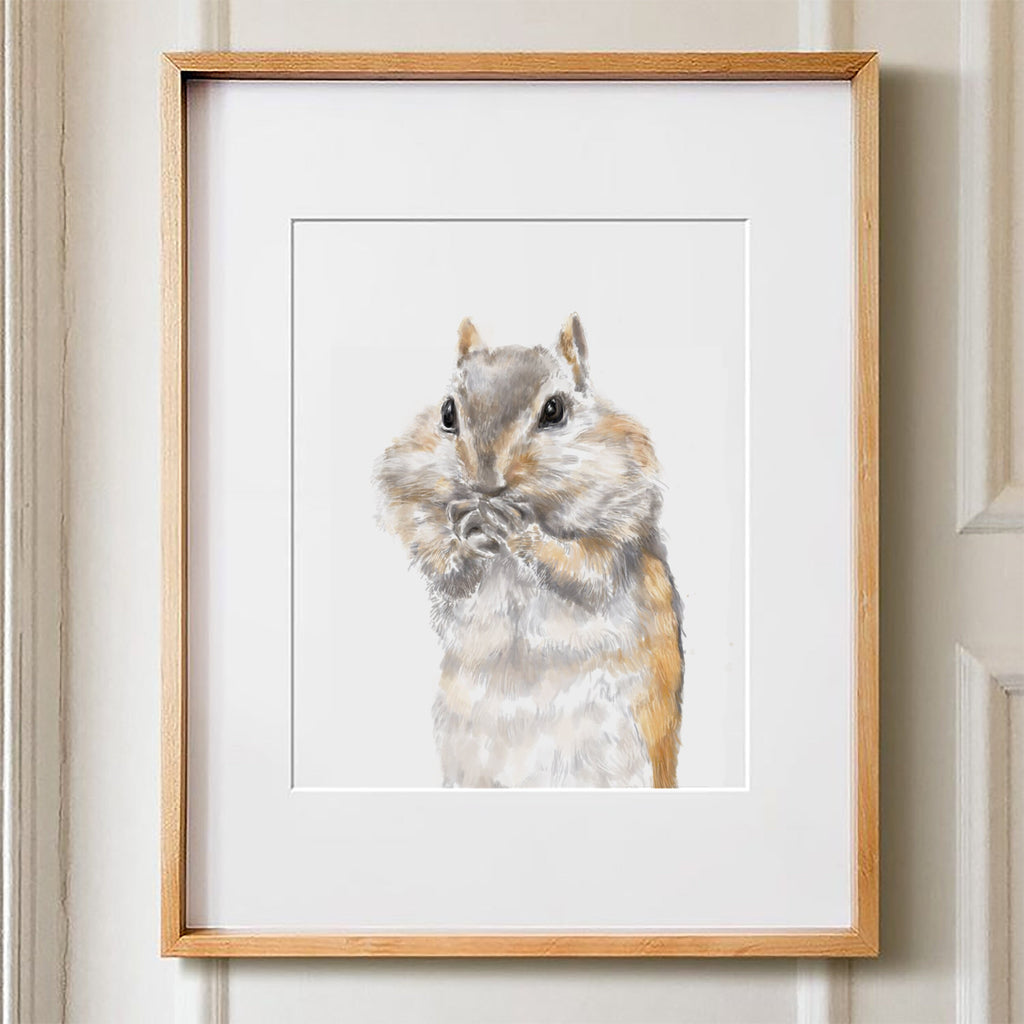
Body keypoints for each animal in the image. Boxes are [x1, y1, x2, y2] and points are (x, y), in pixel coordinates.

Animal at [373, 315, 683, 788]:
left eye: (554, 410)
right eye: (447, 413)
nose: (485, 483)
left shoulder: (623, 520)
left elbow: (586, 570)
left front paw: (521, 532)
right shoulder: (411, 501)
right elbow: (436, 553)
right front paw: (465, 541)